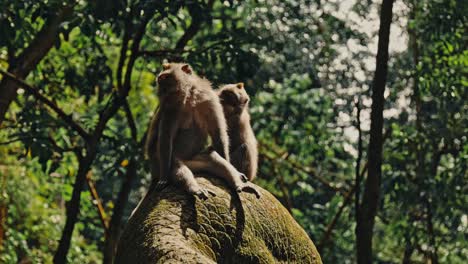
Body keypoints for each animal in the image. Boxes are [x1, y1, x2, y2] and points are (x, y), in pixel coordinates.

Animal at [145, 63, 260, 199]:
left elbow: (218, 133)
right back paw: (194, 189)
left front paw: (236, 171)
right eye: (161, 78)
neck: (189, 97)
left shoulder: (209, 100)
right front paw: (164, 178)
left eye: (165, 76)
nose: (159, 78)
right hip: (162, 162)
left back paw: (238, 184)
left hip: (195, 160)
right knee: (176, 166)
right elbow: (165, 139)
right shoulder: (170, 107)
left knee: (212, 157)